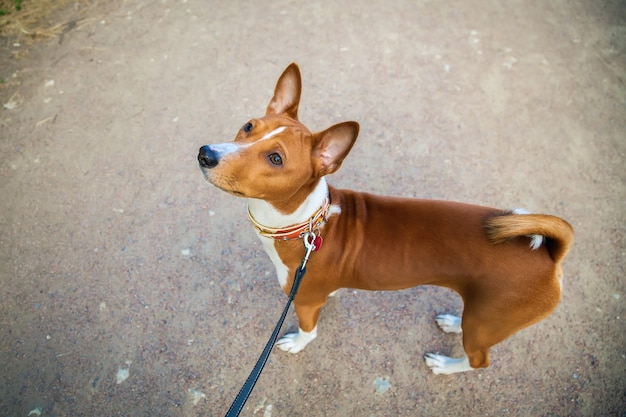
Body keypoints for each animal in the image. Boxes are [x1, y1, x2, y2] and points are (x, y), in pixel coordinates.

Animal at [196, 62, 572, 374]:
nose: (206, 154)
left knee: (479, 360)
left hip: (487, 323)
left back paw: (446, 365)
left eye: (275, 158)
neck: (306, 223)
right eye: (248, 126)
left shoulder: (304, 299)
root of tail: (549, 254)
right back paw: (453, 322)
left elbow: (308, 332)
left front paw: (297, 343)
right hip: (481, 315)